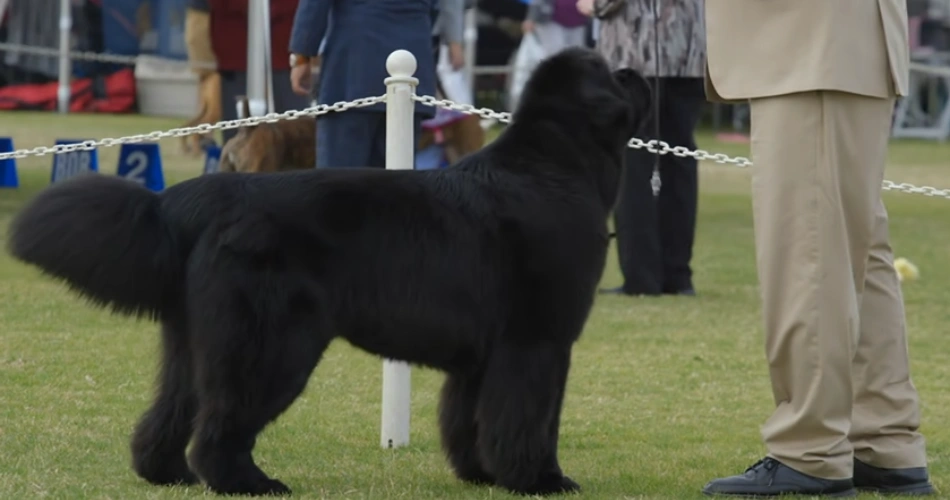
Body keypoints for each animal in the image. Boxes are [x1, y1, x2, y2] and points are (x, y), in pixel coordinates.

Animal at [5, 47, 656, 496]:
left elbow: (467, 417)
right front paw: (540, 479)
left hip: (194, 339)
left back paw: (166, 474)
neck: (555, 166)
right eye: (614, 74)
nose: (638, 69)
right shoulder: (536, 341)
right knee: (219, 425)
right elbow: (531, 417)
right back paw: (250, 482)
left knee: (172, 410)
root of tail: (197, 199)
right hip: (272, 342)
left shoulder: (483, 354)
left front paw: (481, 473)